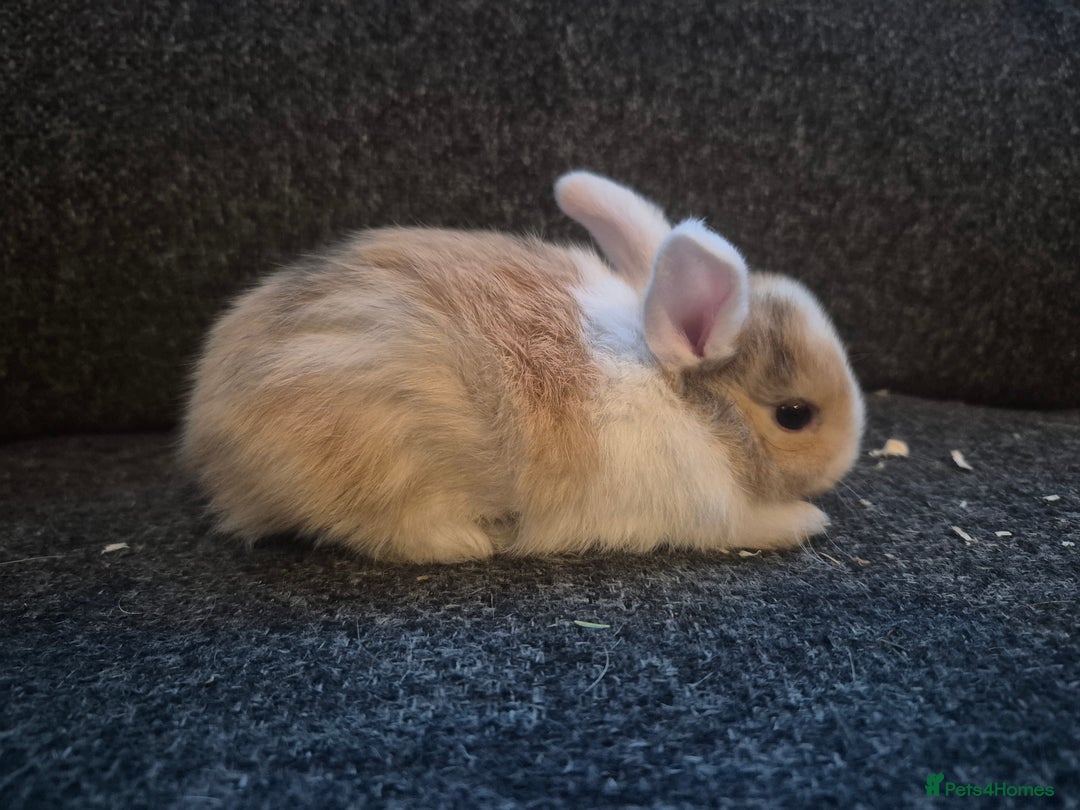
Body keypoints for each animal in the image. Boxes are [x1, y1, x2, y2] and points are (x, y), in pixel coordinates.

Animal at [181, 171, 865, 563]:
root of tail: (209, 426)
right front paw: (810, 520)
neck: (677, 391)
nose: (844, 462)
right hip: (384, 460)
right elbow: (753, 522)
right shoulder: (704, 509)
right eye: (795, 415)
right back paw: (472, 542)